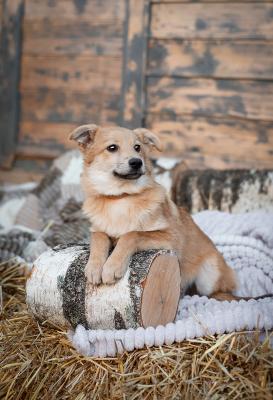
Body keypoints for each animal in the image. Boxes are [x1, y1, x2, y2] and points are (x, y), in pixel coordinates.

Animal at [69, 125, 236, 300]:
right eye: (112, 148)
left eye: (137, 147)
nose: (137, 162)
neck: (121, 197)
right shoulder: (98, 229)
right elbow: (98, 238)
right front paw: (94, 267)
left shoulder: (171, 236)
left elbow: (131, 234)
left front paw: (112, 266)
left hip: (210, 273)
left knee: (220, 293)